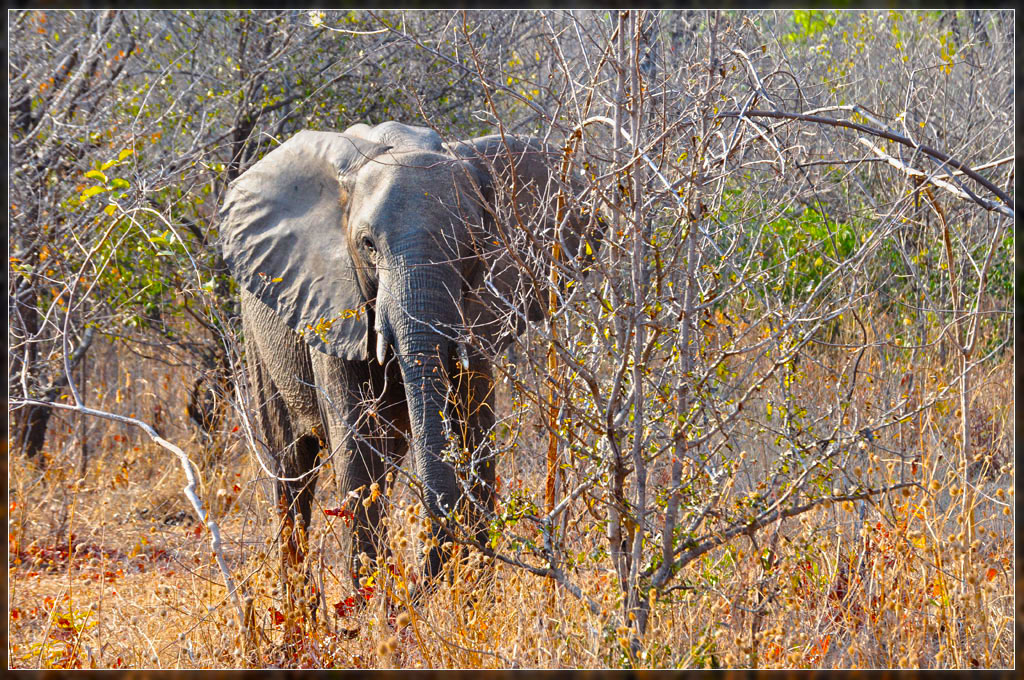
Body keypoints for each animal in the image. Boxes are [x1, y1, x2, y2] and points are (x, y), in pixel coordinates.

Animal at [220, 122, 598, 602]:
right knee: (291, 471)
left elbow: (476, 437)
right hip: (258, 334)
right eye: (367, 245)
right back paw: (299, 610)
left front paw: (474, 603)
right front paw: (369, 609)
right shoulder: (332, 304)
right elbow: (358, 454)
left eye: (473, 244)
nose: (414, 588)